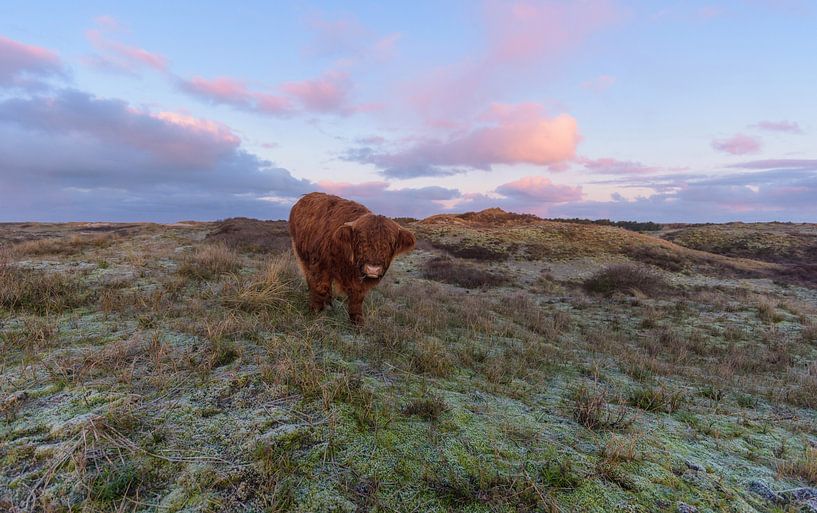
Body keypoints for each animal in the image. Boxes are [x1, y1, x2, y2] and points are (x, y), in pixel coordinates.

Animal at [286, 192, 414, 324]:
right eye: (361, 240)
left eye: (390, 243)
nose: (373, 269)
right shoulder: (319, 265)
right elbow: (320, 287)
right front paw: (316, 311)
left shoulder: (359, 281)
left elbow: (357, 298)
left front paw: (357, 321)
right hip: (302, 255)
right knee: (310, 279)